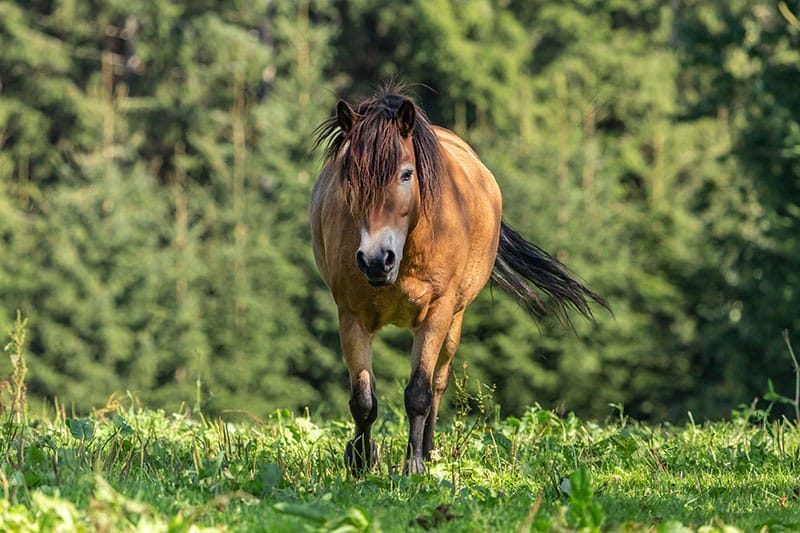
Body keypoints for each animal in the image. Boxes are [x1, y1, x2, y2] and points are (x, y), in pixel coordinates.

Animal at [311, 84, 607, 475]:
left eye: (406, 174)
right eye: (350, 177)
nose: (375, 260)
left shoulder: (437, 311)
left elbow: (419, 393)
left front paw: (414, 465)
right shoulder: (351, 315)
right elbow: (363, 400)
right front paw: (359, 461)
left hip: (454, 321)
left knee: (438, 382)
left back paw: (428, 450)